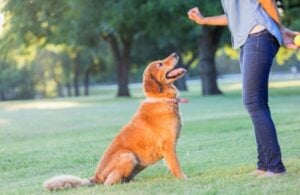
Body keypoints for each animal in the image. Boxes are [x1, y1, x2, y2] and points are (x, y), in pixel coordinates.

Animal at [44, 53, 188, 190]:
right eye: (160, 64)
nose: (175, 54)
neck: (162, 99)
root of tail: (96, 177)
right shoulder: (168, 146)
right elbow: (176, 165)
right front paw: (184, 179)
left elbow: (171, 165)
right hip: (128, 156)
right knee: (109, 183)